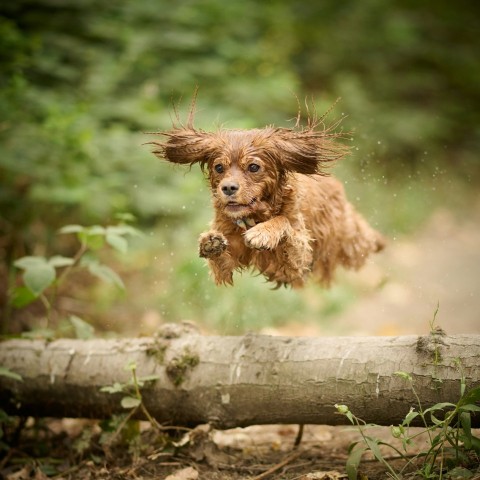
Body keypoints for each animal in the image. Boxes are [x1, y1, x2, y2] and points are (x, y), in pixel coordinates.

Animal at [152, 111, 384, 288]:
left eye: (254, 167)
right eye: (219, 167)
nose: (228, 188)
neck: (254, 217)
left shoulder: (299, 261)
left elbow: (284, 222)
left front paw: (263, 233)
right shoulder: (229, 258)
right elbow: (221, 262)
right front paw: (211, 242)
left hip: (348, 236)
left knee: (364, 239)